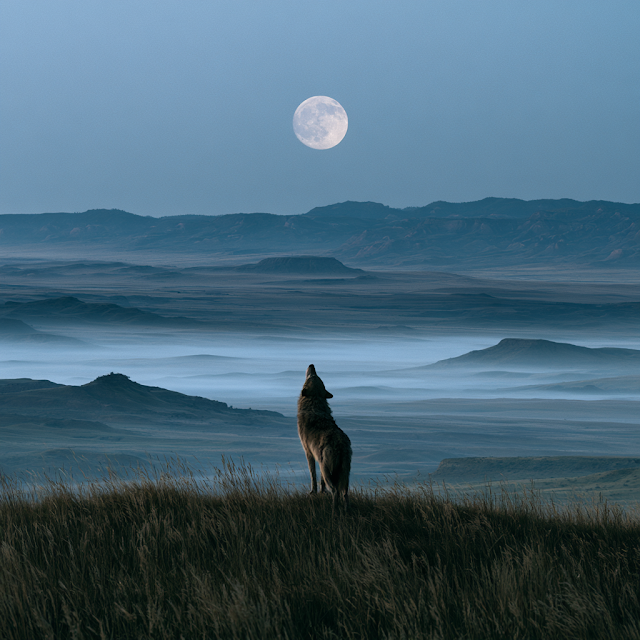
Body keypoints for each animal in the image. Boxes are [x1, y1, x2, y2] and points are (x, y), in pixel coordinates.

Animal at [297, 364, 352, 511]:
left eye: (313, 376)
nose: (312, 365)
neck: (314, 402)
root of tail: (340, 445)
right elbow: (320, 481)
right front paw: (322, 492)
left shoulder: (308, 452)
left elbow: (313, 475)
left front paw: (313, 492)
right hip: (343, 474)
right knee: (345, 493)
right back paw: (345, 511)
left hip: (328, 470)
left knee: (336, 491)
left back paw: (334, 511)